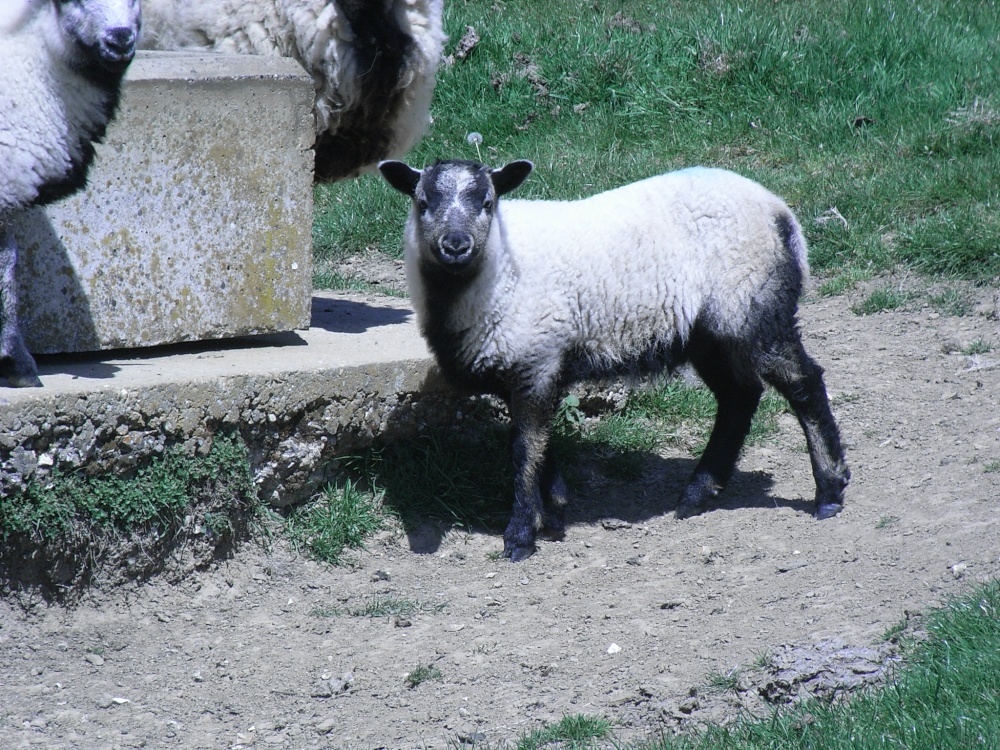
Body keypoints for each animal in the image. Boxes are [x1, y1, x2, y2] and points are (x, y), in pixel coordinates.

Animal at [379, 158, 851, 561]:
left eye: (487, 203)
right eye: (423, 203)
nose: (455, 246)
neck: (496, 271)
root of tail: (780, 213)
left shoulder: (537, 359)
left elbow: (524, 449)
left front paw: (521, 534)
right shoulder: (531, 365)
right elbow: (539, 444)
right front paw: (554, 511)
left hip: (755, 308)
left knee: (803, 383)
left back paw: (829, 490)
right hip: (710, 334)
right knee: (739, 396)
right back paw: (698, 493)